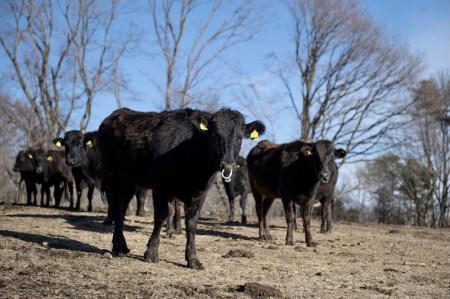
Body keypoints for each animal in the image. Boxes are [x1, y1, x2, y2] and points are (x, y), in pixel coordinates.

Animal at [96, 107, 262, 270]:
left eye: (240, 137)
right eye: (215, 134)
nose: (227, 165)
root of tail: (117, 113)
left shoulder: (202, 191)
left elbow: (192, 222)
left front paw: (193, 259)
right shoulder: (160, 184)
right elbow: (161, 215)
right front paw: (151, 253)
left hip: (130, 180)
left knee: (123, 208)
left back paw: (122, 245)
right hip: (113, 174)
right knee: (117, 207)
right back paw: (119, 246)